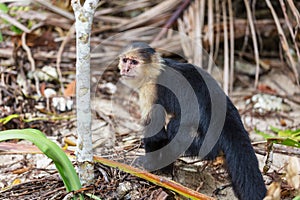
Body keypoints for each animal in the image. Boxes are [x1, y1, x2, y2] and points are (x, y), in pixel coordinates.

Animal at [118, 41, 268, 199]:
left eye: (134, 62)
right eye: (125, 60)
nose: (126, 69)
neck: (154, 71)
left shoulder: (151, 90)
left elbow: (156, 132)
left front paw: (151, 164)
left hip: (203, 143)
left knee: (174, 127)